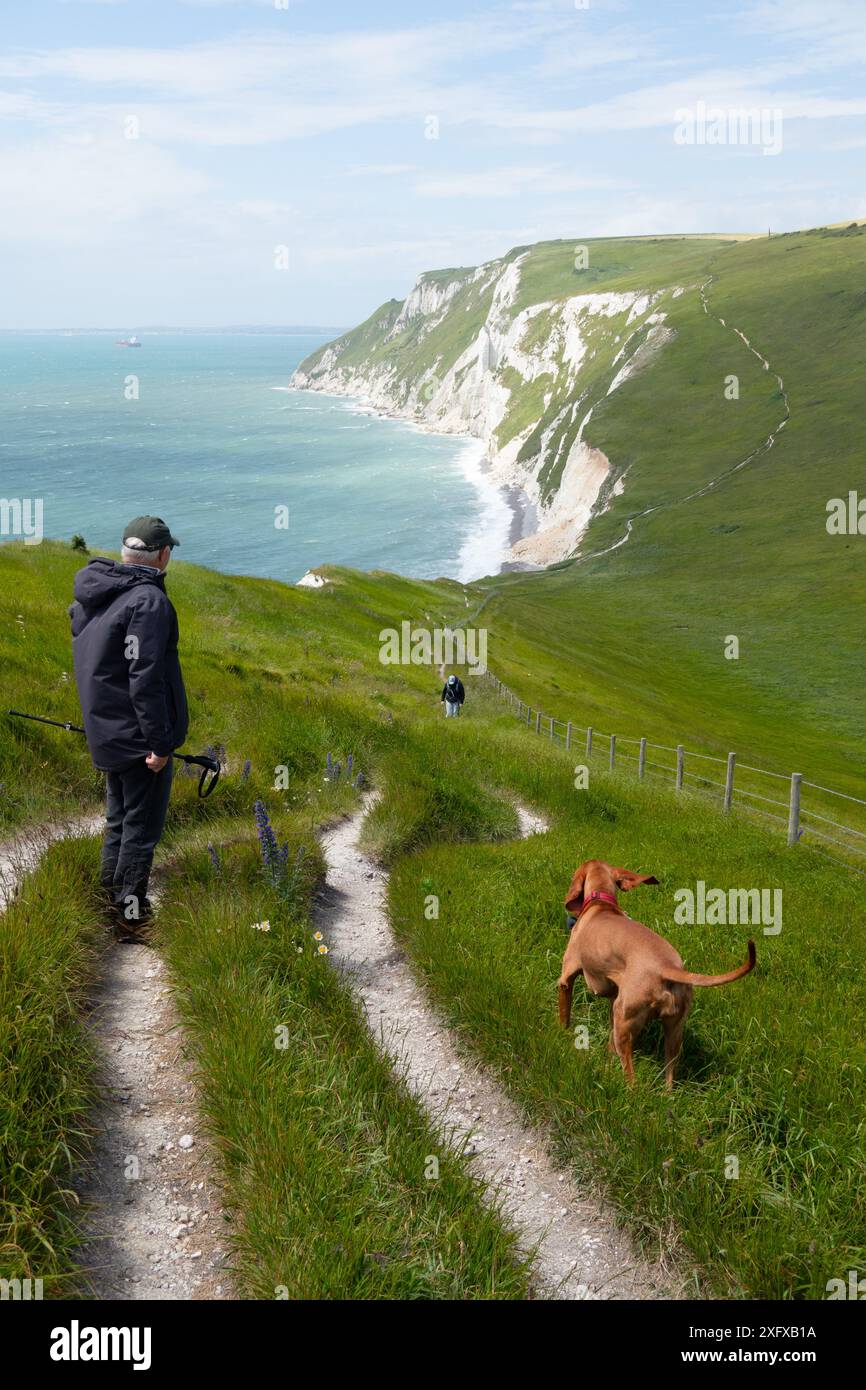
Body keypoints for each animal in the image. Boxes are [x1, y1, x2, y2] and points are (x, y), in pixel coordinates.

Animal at [558, 861, 756, 1089]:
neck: (601, 904)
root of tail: (667, 967)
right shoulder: (614, 999)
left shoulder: (566, 979)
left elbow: (564, 1016)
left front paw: (561, 1037)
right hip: (673, 1030)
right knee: (669, 1077)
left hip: (626, 1021)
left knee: (632, 1079)